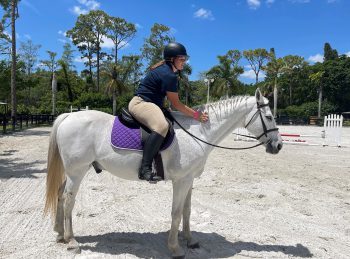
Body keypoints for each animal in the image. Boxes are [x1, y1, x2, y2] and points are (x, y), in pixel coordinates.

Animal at [45, 89, 284, 258]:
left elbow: (187, 211)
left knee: (60, 194)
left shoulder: (189, 180)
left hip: (73, 171)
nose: (278, 145)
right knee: (68, 200)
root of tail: (68, 116)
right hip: (77, 172)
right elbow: (176, 213)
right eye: (269, 117)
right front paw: (175, 248)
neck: (198, 133)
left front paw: (190, 240)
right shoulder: (181, 181)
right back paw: (72, 241)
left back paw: (59, 233)